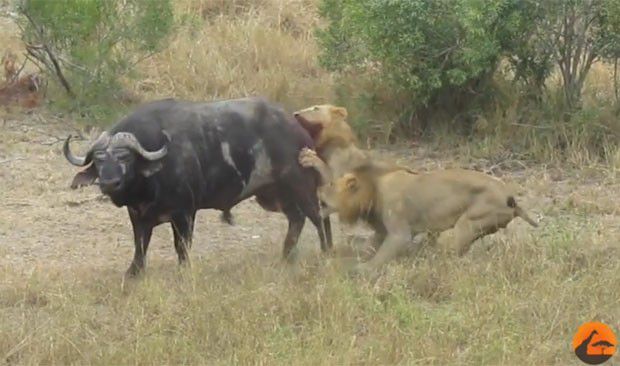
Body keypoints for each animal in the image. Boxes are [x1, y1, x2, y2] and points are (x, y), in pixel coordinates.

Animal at [63, 97, 332, 278]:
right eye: (99, 161)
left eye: (125, 158)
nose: (109, 183)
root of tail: (299, 131)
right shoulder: (137, 215)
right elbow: (140, 245)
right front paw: (133, 272)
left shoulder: (184, 213)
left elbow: (181, 247)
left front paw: (184, 271)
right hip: (274, 195)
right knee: (297, 219)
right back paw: (286, 254)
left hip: (302, 186)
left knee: (319, 217)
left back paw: (326, 251)